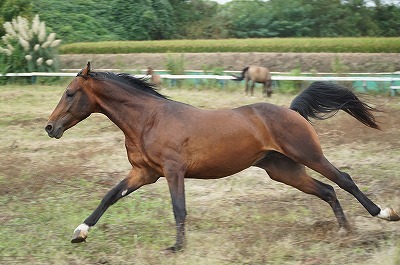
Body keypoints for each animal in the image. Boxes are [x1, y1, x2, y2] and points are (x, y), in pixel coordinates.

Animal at [45, 61, 398, 252]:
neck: (148, 120)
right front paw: (79, 233)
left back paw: (383, 214)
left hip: (309, 155)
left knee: (344, 180)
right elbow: (109, 197)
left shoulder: (173, 170)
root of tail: (291, 110)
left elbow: (179, 208)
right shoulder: (144, 173)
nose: (50, 127)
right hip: (284, 170)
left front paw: (177, 247)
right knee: (327, 190)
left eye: (70, 93)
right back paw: (344, 231)